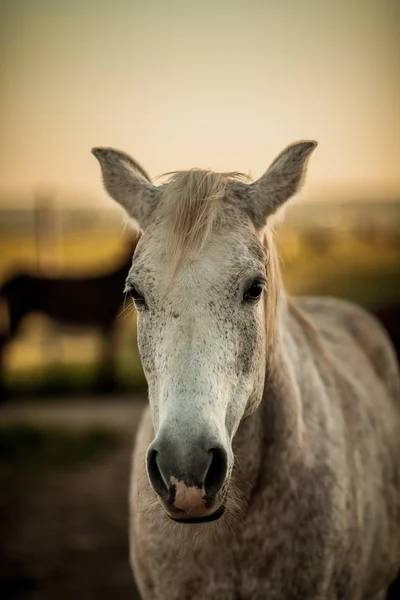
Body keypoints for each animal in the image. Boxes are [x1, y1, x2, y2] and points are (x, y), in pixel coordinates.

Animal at [0, 234, 139, 398]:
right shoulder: (107, 319)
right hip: (17, 312)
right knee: (3, 342)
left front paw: (105, 384)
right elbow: (107, 351)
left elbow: (106, 350)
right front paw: (106, 385)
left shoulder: (106, 322)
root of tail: (9, 279)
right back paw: (4, 390)